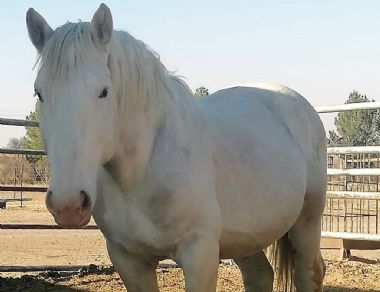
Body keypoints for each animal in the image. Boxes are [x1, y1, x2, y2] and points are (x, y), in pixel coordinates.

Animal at [26, 4, 326, 292]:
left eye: (104, 91)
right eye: (39, 93)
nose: (67, 205)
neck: (143, 169)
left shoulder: (200, 255)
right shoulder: (128, 260)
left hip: (307, 223)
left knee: (309, 274)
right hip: (246, 237)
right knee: (260, 276)